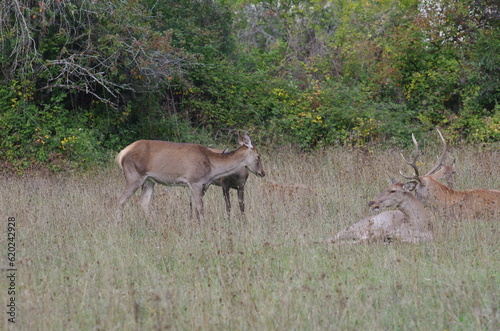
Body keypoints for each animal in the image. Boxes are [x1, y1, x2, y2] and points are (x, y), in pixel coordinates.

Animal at [116, 132, 266, 223]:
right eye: (258, 156)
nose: (262, 172)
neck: (212, 166)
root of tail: (122, 153)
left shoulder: (199, 185)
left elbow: (194, 207)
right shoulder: (195, 181)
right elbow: (200, 207)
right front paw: (203, 226)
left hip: (149, 180)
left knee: (144, 201)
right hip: (134, 176)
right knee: (121, 200)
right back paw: (120, 224)